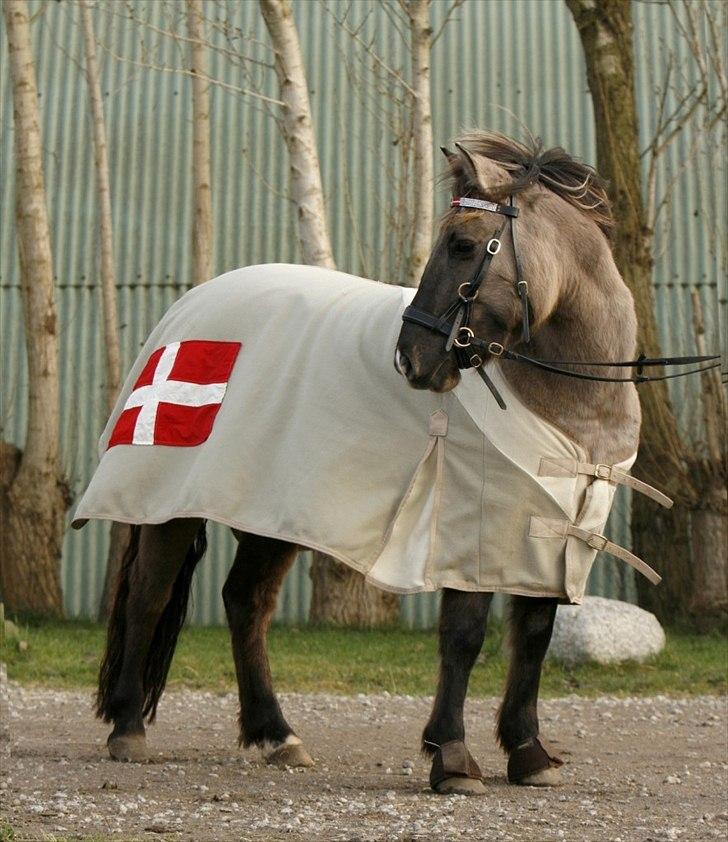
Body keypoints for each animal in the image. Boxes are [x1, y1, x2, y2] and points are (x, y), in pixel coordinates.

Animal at [77, 133, 672, 796]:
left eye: (463, 245)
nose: (411, 359)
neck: (570, 404)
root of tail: (191, 305)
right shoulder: (470, 525)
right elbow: (464, 634)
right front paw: (453, 757)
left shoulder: (550, 532)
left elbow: (535, 635)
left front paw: (528, 752)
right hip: (170, 502)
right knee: (149, 597)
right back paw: (129, 728)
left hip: (272, 511)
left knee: (245, 601)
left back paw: (276, 735)